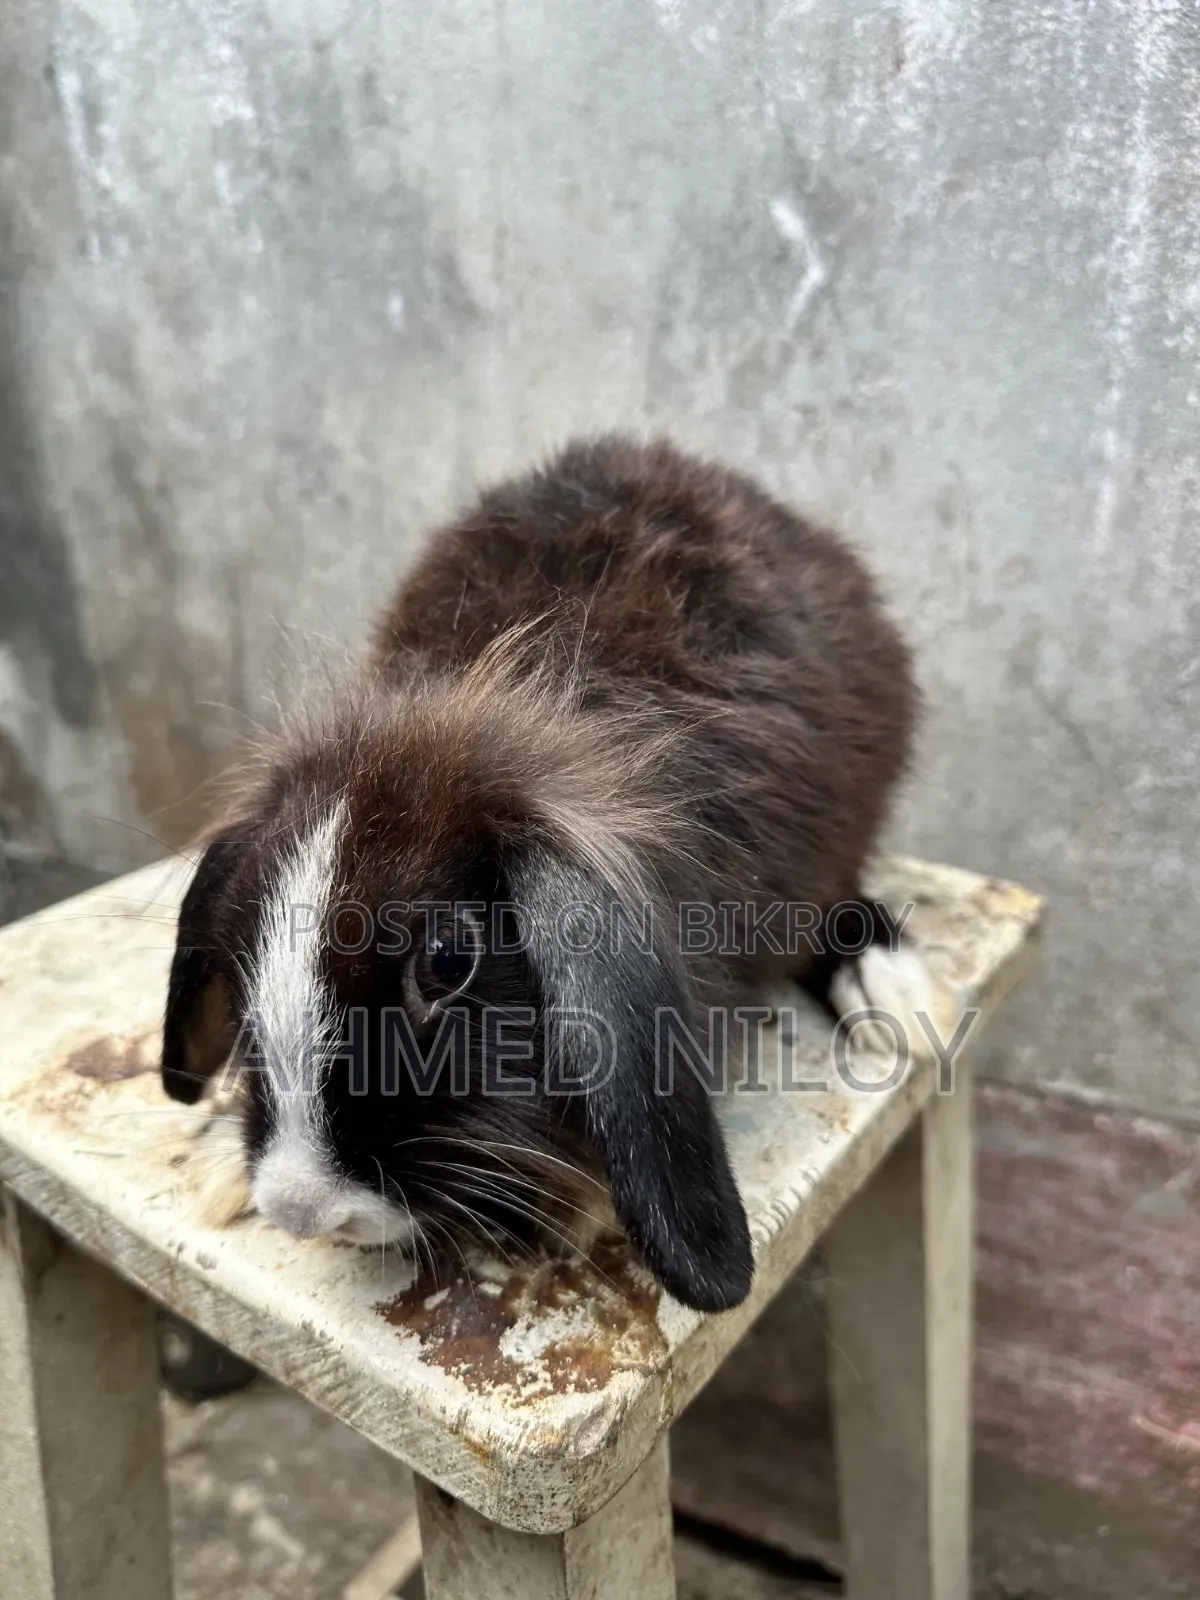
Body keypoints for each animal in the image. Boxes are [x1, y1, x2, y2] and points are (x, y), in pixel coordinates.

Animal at [161, 435, 920, 1313]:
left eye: (447, 962)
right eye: (239, 948)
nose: (301, 1205)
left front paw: (572, 1203)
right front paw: (218, 1158)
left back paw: (885, 983)